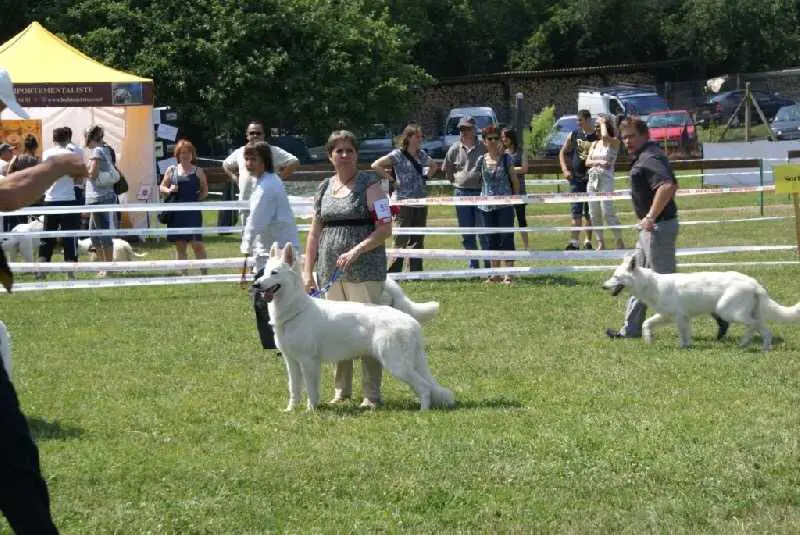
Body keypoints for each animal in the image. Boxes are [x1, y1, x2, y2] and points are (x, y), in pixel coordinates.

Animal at [255, 244, 456, 414]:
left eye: (274, 273)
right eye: (263, 273)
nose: (255, 285)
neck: (296, 310)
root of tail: (411, 321)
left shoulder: (309, 362)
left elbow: (311, 390)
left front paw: (310, 411)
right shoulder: (292, 362)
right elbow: (294, 389)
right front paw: (290, 410)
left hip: (397, 365)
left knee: (424, 386)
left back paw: (423, 411)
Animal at [604, 255, 800, 352]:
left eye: (616, 277)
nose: (602, 286)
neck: (650, 284)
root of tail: (754, 284)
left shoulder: (679, 317)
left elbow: (683, 334)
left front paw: (683, 347)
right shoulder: (668, 316)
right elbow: (646, 323)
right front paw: (648, 340)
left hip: (728, 311)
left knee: (753, 326)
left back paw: (746, 344)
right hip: (746, 313)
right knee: (764, 330)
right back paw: (761, 347)